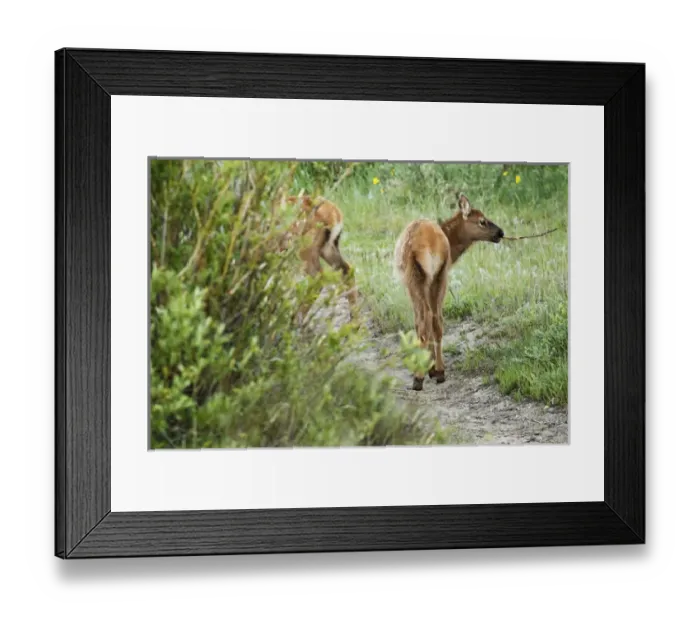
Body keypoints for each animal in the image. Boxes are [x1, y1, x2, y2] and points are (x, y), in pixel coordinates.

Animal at [393, 192, 505, 391]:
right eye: (482, 221)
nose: (501, 232)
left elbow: (418, 323)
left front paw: (427, 367)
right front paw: (431, 367)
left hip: (418, 277)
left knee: (425, 319)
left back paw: (420, 377)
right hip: (439, 276)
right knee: (436, 319)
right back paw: (439, 371)